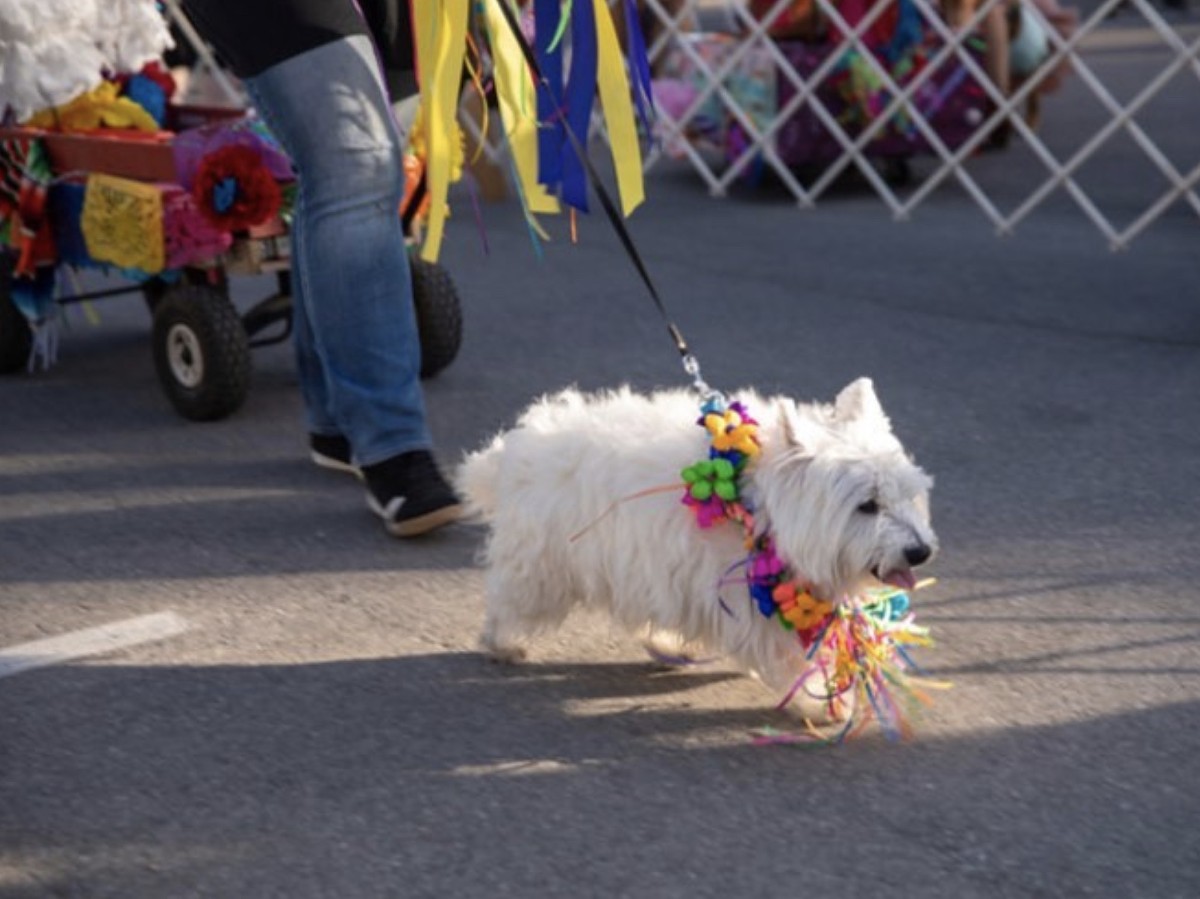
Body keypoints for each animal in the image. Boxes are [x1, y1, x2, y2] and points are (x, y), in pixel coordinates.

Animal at [453, 374, 931, 696]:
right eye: (867, 504)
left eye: (908, 494)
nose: (920, 552)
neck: (759, 506)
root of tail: (514, 451)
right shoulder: (742, 598)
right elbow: (787, 654)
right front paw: (821, 699)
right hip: (542, 564)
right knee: (510, 601)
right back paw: (503, 643)